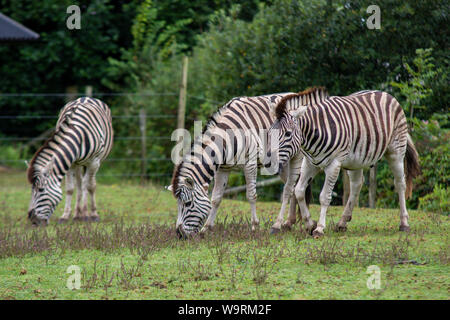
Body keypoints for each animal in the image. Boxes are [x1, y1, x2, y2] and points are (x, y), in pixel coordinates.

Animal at [26, 97, 113, 225]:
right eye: (31, 190)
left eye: (41, 190)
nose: (33, 220)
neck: (79, 135)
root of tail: (87, 97)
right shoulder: (70, 162)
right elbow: (70, 189)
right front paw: (66, 216)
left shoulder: (94, 162)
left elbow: (89, 186)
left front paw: (89, 215)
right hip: (78, 164)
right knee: (80, 184)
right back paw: (77, 215)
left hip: (95, 162)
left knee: (89, 184)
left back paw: (90, 214)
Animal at [167, 90, 326, 238]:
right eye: (178, 204)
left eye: (187, 204)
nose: (179, 234)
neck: (226, 139)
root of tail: (295, 94)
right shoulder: (223, 168)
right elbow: (216, 198)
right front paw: (206, 228)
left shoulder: (250, 164)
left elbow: (251, 195)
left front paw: (254, 227)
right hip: (283, 163)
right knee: (292, 186)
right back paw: (288, 223)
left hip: (296, 156)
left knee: (293, 186)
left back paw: (296, 223)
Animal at [266, 87, 420, 238]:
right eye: (270, 132)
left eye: (288, 134)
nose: (268, 163)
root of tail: (384, 93)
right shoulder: (309, 163)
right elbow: (298, 191)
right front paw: (310, 224)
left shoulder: (334, 164)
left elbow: (324, 197)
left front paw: (319, 228)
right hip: (356, 160)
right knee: (357, 184)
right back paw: (342, 222)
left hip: (396, 151)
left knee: (400, 183)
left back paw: (404, 223)